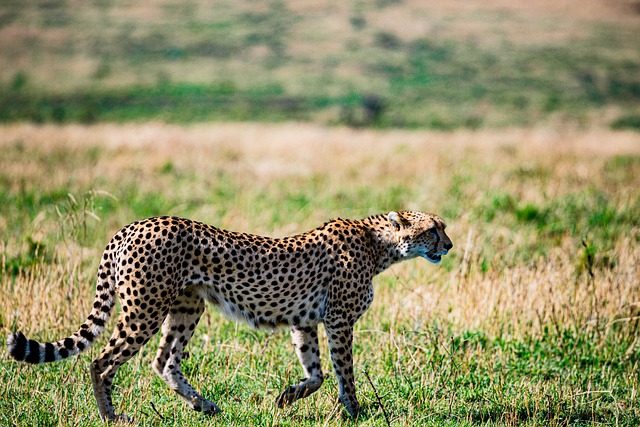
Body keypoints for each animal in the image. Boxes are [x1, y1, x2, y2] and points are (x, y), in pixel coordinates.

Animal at [7, 211, 452, 422]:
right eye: (433, 229)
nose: (448, 245)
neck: (380, 245)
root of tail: (130, 226)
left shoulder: (305, 320)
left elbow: (316, 373)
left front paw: (286, 398)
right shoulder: (339, 320)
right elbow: (344, 372)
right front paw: (355, 412)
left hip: (187, 305)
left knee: (164, 360)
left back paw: (204, 406)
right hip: (144, 309)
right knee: (101, 361)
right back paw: (112, 417)